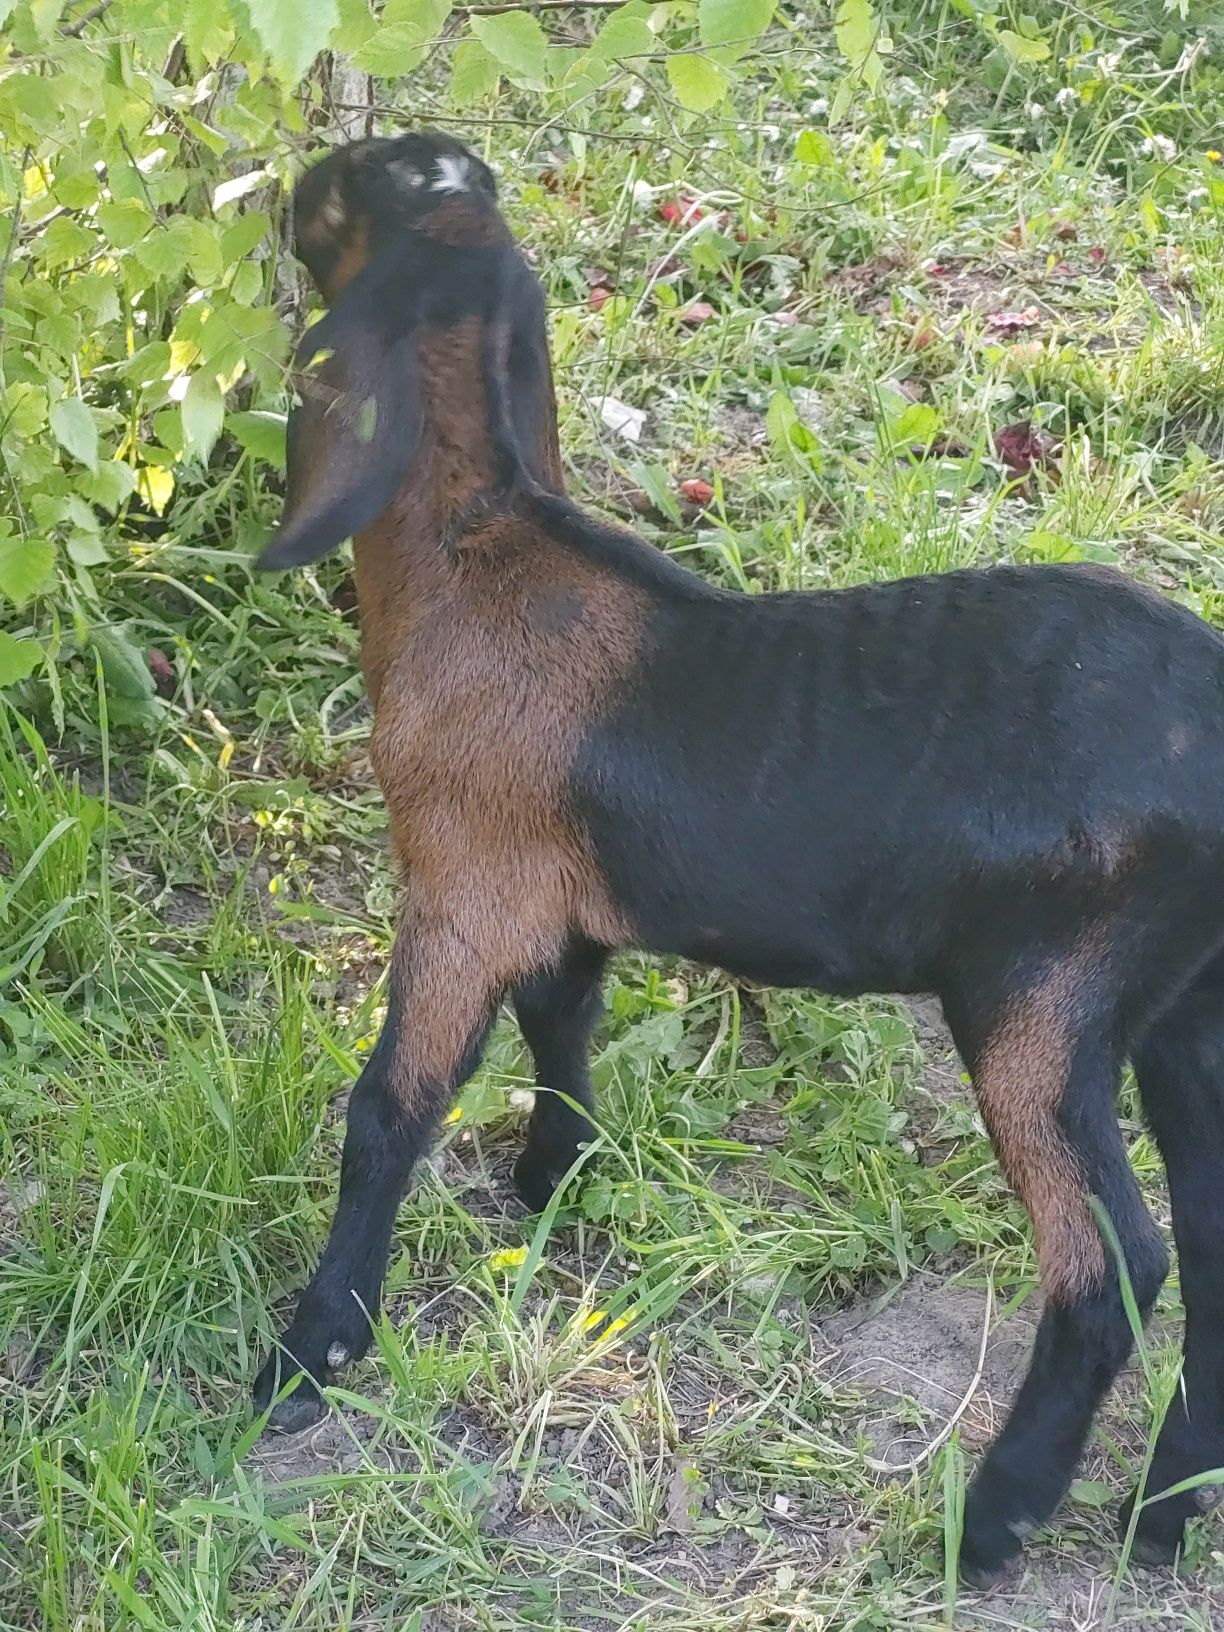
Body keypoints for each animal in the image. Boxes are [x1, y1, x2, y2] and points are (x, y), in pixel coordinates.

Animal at [254, 133, 1224, 1586]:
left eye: (354, 188)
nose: (285, 187)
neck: (485, 563)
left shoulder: (465, 885)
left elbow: (393, 1110)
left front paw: (312, 1353)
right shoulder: (564, 897)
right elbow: (561, 1020)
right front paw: (555, 1182)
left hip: (1049, 1000)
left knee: (1113, 1267)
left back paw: (994, 1521)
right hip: (1186, 1013)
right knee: (1216, 1251)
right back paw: (1160, 1518)